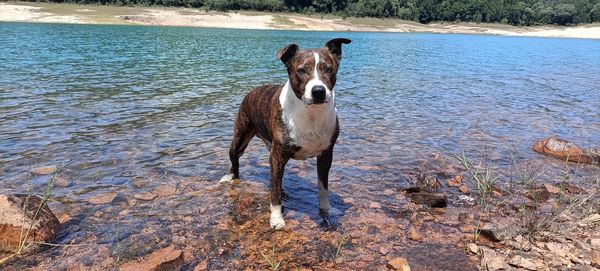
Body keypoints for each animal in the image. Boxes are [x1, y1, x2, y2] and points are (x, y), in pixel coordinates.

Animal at [220, 37, 352, 230]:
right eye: (301, 71)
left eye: (328, 69)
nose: (318, 91)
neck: (310, 113)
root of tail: (253, 91)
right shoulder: (277, 156)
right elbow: (274, 193)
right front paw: (276, 219)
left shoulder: (326, 155)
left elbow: (323, 186)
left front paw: (326, 210)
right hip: (240, 138)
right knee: (235, 161)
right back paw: (230, 177)